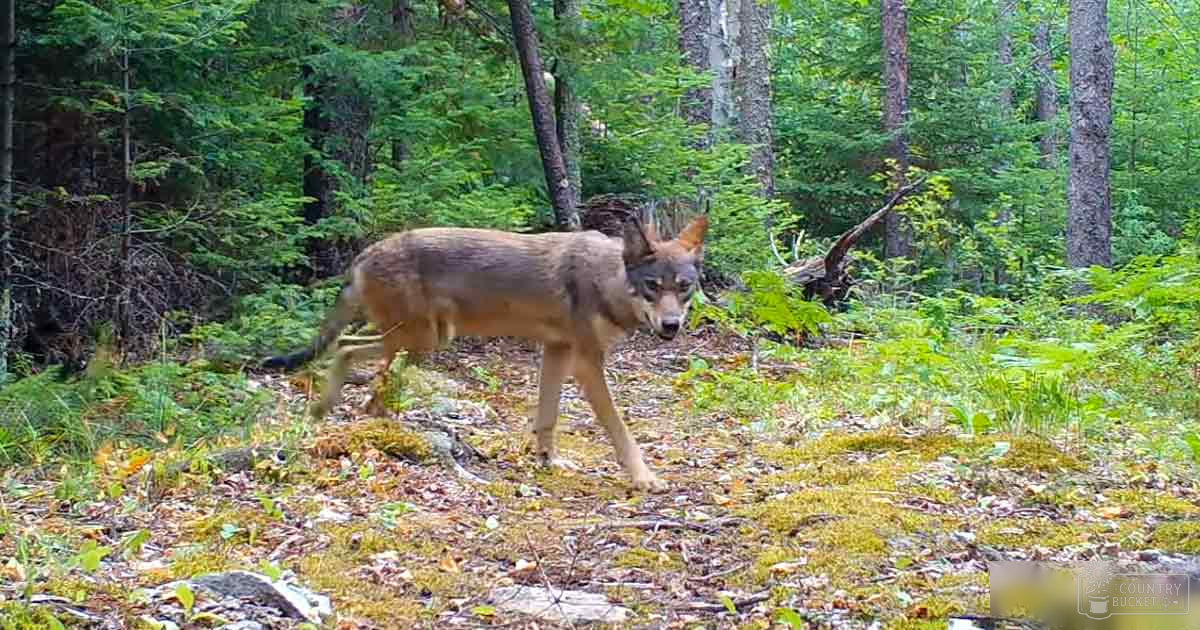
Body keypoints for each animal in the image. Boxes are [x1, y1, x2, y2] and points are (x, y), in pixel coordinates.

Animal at [262, 215, 708, 492]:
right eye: (652, 286)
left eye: (684, 287)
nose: (671, 326)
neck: (608, 280)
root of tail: (365, 253)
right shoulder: (587, 361)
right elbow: (619, 428)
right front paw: (645, 478)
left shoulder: (558, 351)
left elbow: (547, 418)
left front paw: (548, 461)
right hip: (419, 340)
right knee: (345, 348)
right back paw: (330, 412)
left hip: (416, 341)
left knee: (359, 367)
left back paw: (350, 416)